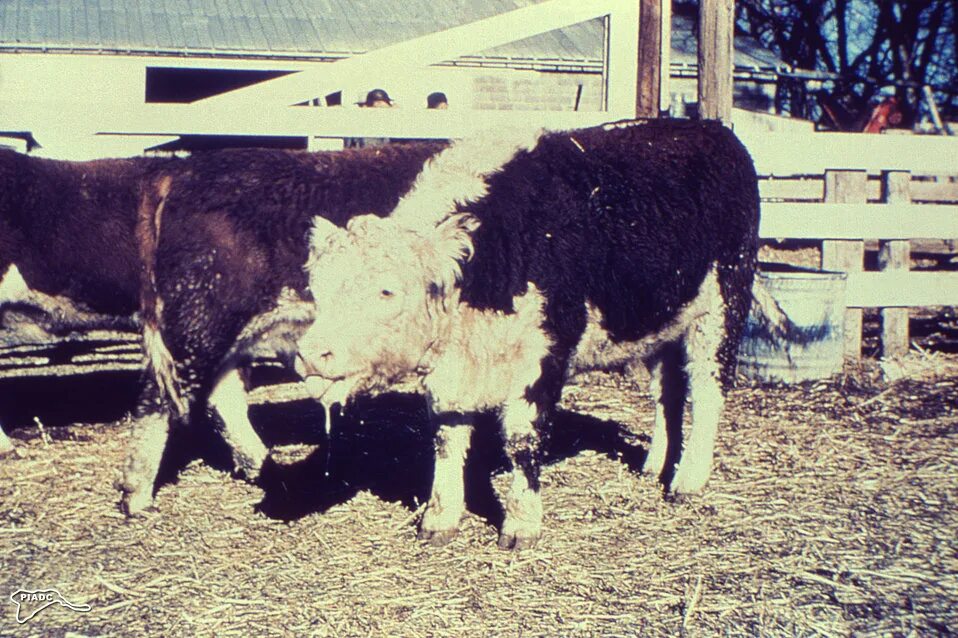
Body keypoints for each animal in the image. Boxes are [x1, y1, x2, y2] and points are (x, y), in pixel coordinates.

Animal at [300, 120, 764, 552]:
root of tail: (708, 127)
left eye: (387, 291)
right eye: (318, 288)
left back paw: (688, 480)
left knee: (707, 390)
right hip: (664, 320)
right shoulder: (450, 374)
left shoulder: (541, 356)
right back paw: (656, 465)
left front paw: (521, 524)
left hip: (723, 302)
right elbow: (447, 439)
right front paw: (440, 518)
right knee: (667, 392)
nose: (311, 353)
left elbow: (524, 440)